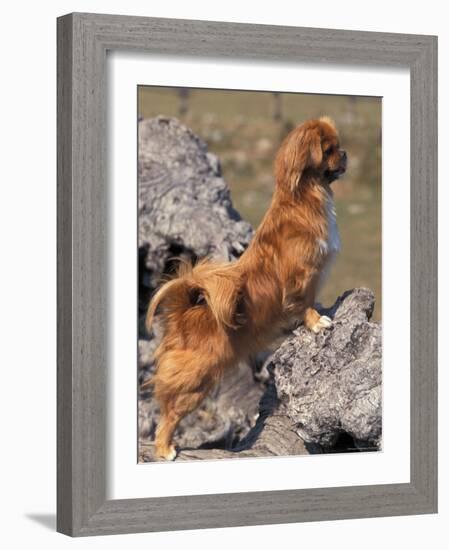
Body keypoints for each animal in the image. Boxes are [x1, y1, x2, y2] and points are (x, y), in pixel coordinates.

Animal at [144, 116, 346, 462]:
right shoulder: (302, 277)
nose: (345, 153)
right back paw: (164, 448)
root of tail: (184, 315)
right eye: (330, 150)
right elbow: (304, 301)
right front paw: (316, 322)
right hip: (197, 381)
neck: (305, 199)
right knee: (168, 414)